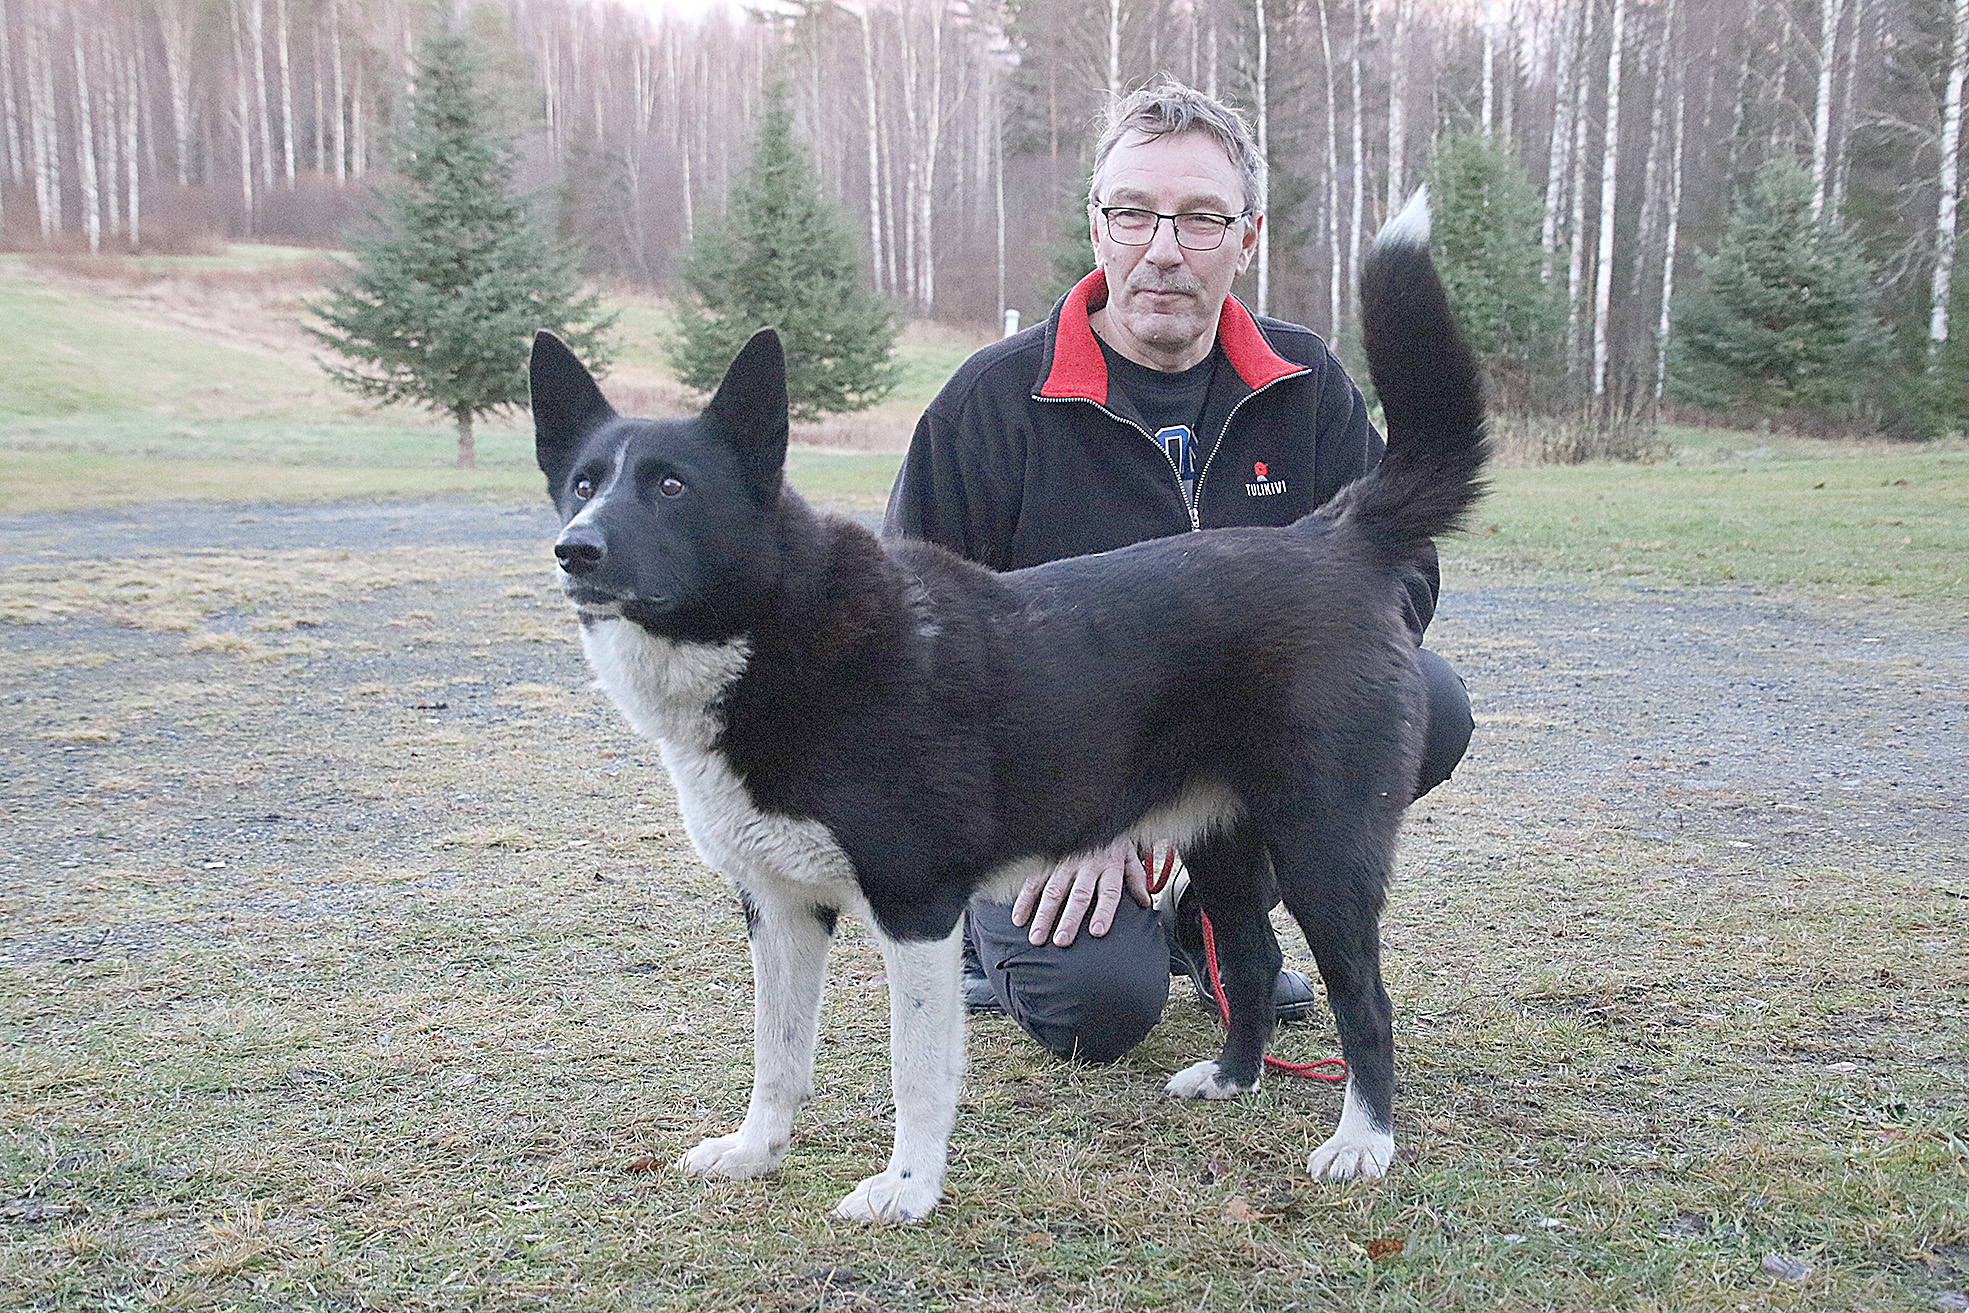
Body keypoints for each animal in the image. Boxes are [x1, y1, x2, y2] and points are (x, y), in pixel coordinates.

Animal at [531, 200, 1480, 1228]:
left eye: (671, 486)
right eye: (583, 483)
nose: (574, 550)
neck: (774, 630)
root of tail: (1333, 537)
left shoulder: (914, 906)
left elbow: (915, 1068)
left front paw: (906, 1189)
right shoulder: (778, 905)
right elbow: (776, 1052)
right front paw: (755, 1151)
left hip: (1321, 847)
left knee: (1366, 1001)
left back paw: (1363, 1142)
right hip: (1225, 841)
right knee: (1254, 958)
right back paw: (1231, 1078)